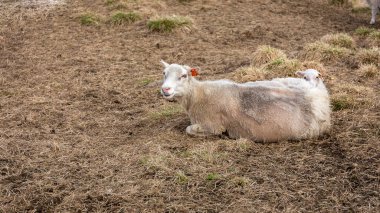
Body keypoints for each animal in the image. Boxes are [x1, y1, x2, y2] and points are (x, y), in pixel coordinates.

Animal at [159, 60, 332, 142]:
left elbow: (189, 129)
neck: (197, 95)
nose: (165, 89)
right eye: (164, 73)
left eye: (183, 76)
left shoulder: (213, 126)